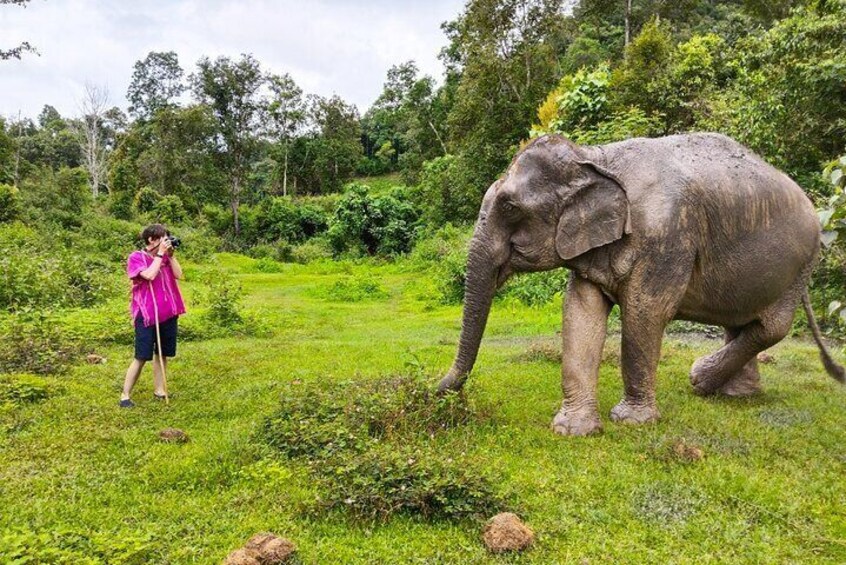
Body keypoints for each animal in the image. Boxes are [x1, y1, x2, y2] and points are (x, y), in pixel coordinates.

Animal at [440, 132, 844, 436]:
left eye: (509, 207)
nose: (436, 391)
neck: (596, 157)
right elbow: (580, 310)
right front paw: (573, 430)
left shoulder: (667, 235)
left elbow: (645, 311)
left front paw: (631, 422)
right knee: (741, 321)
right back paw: (734, 394)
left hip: (801, 262)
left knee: (770, 326)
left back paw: (700, 378)